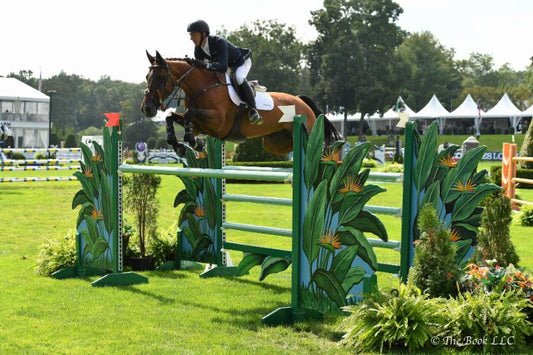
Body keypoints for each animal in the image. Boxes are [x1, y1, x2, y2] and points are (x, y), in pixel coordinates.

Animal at [140, 50, 340, 156]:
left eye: (160, 77)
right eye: (147, 77)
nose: (147, 109)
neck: (203, 86)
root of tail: (301, 101)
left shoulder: (218, 123)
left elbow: (189, 114)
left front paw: (194, 143)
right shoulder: (200, 125)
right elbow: (171, 117)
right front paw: (180, 145)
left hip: (306, 130)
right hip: (275, 143)